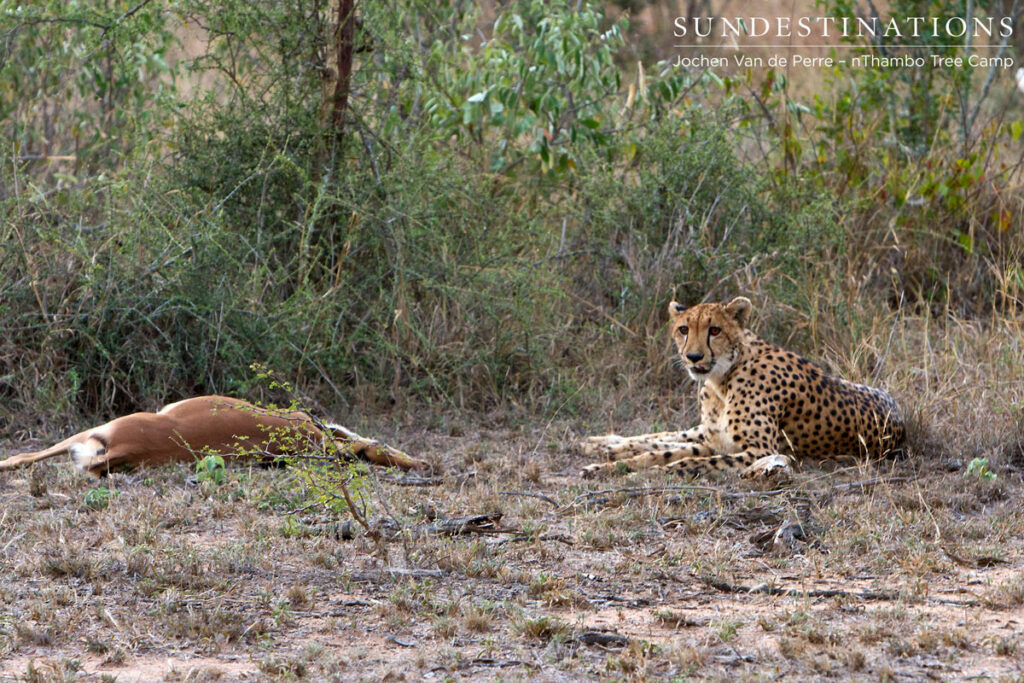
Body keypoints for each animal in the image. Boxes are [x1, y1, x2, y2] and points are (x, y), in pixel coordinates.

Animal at [580, 296, 905, 479]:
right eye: (684, 329)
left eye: (714, 330)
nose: (693, 357)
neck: (723, 378)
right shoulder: (717, 440)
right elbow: (664, 451)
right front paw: (608, 465)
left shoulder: (759, 451)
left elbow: (683, 461)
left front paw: (634, 472)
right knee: (667, 437)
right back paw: (600, 444)